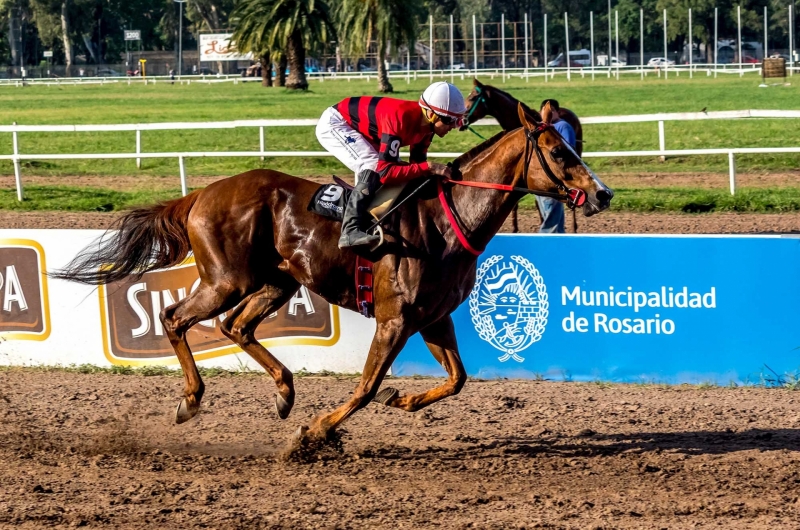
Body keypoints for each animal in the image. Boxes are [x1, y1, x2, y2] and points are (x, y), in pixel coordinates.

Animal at [54, 103, 612, 442]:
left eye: (573, 146)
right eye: (559, 151)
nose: (603, 193)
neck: (447, 219)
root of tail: (202, 194)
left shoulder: (434, 318)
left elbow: (457, 379)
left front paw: (402, 398)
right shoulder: (394, 319)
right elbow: (364, 387)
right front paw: (318, 430)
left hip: (278, 281)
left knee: (236, 326)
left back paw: (284, 392)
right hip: (226, 280)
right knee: (176, 317)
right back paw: (192, 400)